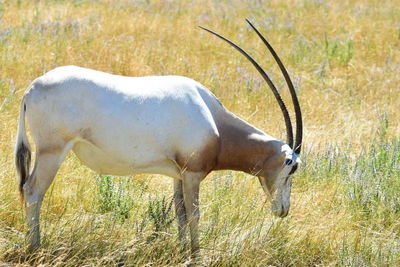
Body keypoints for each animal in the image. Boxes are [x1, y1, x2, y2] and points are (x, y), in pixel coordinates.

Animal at [16, 20, 304, 253]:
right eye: (293, 167)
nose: (284, 210)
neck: (214, 121)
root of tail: (31, 89)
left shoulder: (179, 174)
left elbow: (180, 213)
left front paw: (181, 250)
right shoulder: (192, 173)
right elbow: (195, 215)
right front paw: (195, 254)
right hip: (51, 152)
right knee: (32, 191)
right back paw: (35, 248)